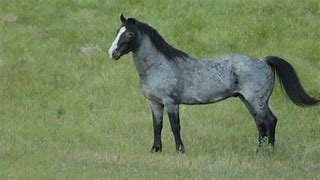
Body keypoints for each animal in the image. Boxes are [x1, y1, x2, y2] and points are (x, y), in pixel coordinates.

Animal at [108, 14, 320, 153]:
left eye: (128, 34)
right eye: (117, 31)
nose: (111, 53)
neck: (159, 65)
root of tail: (265, 62)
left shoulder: (171, 102)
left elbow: (175, 126)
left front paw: (180, 150)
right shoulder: (155, 103)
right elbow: (157, 126)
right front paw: (155, 150)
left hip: (257, 100)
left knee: (270, 121)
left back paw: (268, 151)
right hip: (247, 100)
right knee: (261, 124)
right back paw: (259, 150)